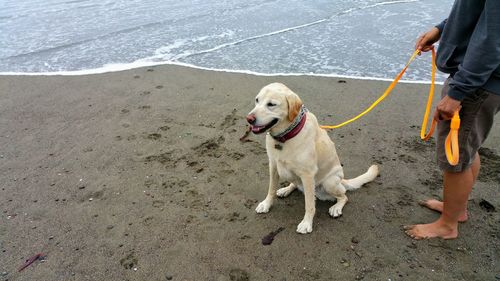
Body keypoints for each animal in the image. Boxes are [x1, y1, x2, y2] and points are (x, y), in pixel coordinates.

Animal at [246, 82, 378, 233]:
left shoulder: (308, 175)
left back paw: (336, 207)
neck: (286, 136)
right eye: (257, 100)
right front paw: (266, 204)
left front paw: (306, 223)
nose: (249, 119)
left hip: (330, 182)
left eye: (271, 104)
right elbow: (271, 189)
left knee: (344, 196)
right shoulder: (273, 165)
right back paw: (285, 190)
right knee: (295, 184)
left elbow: (309, 204)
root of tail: (342, 180)